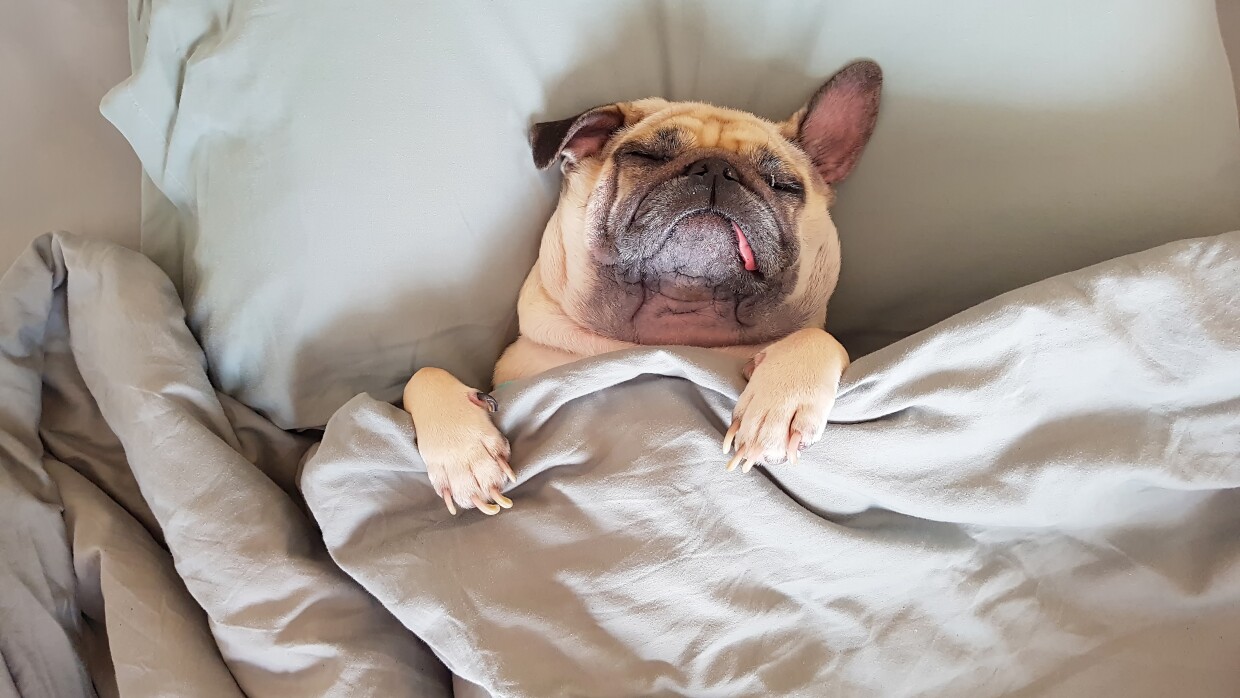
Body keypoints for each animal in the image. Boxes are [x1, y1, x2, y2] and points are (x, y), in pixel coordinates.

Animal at [404, 60, 882, 515]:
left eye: (783, 184)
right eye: (644, 156)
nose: (716, 168)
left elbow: (820, 338)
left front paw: (780, 404)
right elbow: (423, 374)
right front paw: (463, 455)